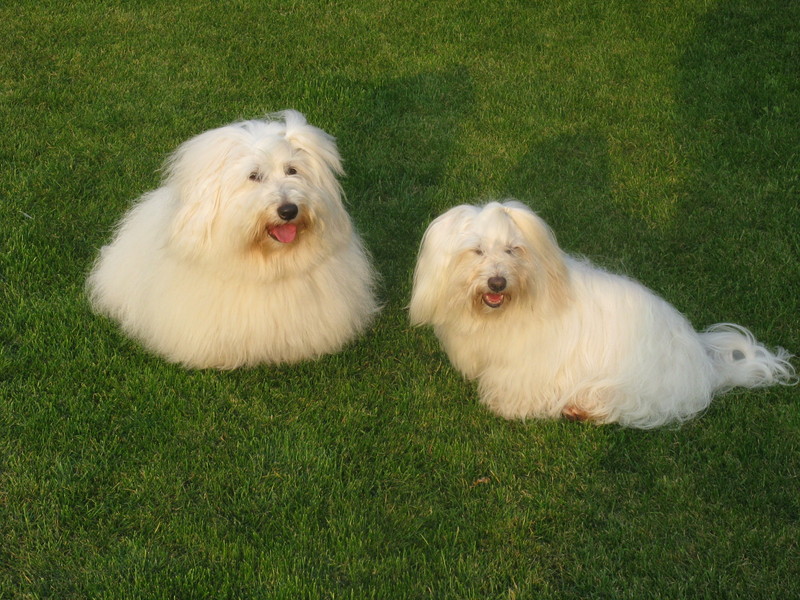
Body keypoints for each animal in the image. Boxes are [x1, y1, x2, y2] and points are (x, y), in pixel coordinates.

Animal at [410, 200, 796, 426]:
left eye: (513, 249)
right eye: (476, 251)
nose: (497, 281)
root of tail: (706, 367)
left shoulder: (529, 365)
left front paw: (508, 406)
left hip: (635, 385)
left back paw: (584, 408)